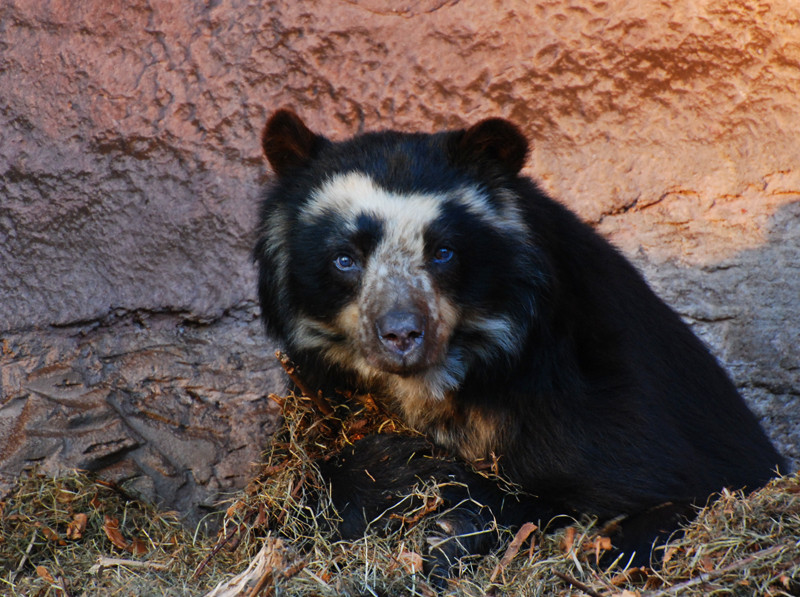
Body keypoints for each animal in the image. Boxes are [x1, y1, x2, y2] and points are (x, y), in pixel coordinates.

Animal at [256, 107, 788, 576]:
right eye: (345, 259)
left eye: (444, 252)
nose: (402, 334)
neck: (443, 380)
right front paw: (396, 470)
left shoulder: (582, 385)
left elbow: (645, 480)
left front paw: (439, 497)